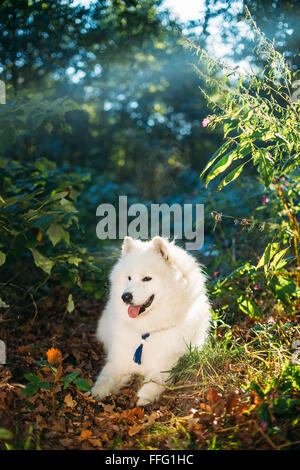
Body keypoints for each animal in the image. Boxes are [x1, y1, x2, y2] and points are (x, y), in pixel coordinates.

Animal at [91, 237, 211, 406]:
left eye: (147, 278)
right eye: (129, 278)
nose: (125, 297)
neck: (146, 331)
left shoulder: (168, 362)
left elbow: (155, 379)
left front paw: (144, 397)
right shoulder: (119, 360)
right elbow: (106, 376)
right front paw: (97, 393)